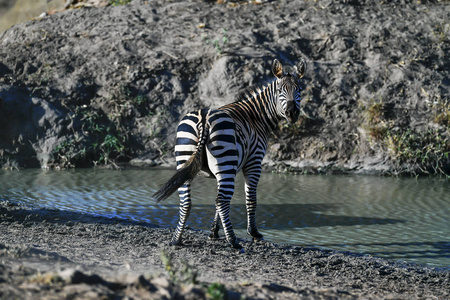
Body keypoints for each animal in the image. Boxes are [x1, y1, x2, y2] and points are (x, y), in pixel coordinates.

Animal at [154, 58, 306, 248]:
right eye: (280, 91)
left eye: (299, 90)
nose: (292, 113)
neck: (256, 117)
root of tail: (204, 118)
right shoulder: (254, 162)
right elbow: (251, 199)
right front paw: (254, 233)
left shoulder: (223, 170)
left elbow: (217, 203)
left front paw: (214, 232)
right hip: (225, 161)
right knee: (222, 200)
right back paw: (233, 242)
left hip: (186, 157)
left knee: (189, 201)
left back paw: (177, 239)